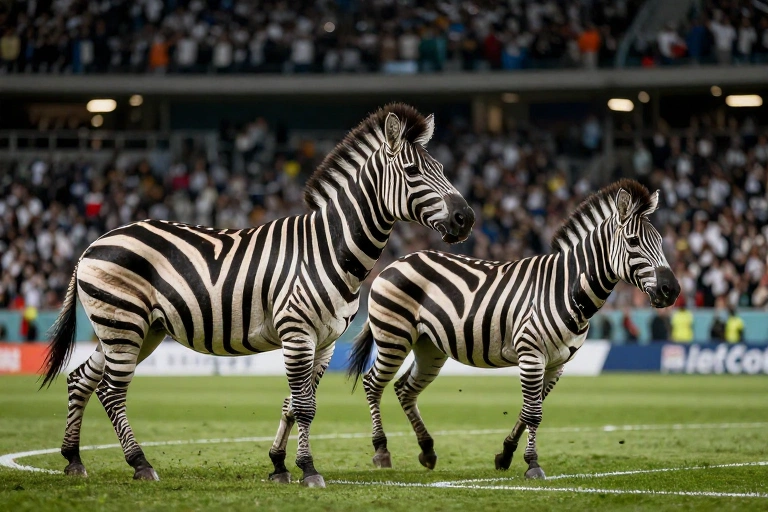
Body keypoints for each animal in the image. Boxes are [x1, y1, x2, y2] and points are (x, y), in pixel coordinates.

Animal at [40, 103, 475, 488]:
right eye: (412, 171)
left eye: (442, 169)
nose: (466, 218)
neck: (329, 248)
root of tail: (93, 243)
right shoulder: (297, 332)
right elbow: (305, 406)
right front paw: (308, 470)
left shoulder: (325, 341)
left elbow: (294, 403)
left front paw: (279, 465)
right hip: (124, 324)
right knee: (112, 391)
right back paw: (139, 463)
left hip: (134, 330)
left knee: (81, 379)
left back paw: (73, 459)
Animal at [348, 179, 679, 479]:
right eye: (633, 241)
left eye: (661, 242)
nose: (672, 290)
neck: (564, 287)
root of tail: (397, 261)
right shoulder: (531, 354)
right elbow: (533, 413)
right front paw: (532, 465)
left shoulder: (557, 363)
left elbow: (528, 411)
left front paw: (506, 454)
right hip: (394, 337)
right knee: (373, 383)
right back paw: (381, 450)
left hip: (429, 347)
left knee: (405, 389)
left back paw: (427, 449)